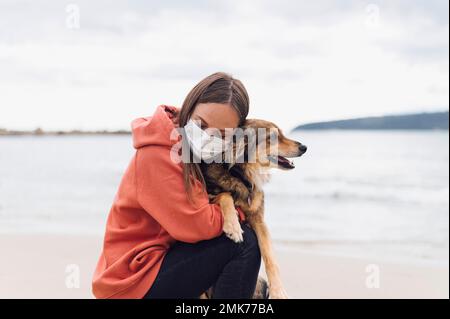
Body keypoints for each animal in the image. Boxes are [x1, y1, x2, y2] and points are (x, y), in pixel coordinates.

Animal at [200, 119, 306, 298]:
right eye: (273, 137)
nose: (304, 147)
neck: (242, 176)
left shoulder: (259, 219)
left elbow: (270, 256)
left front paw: (278, 290)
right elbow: (225, 195)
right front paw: (233, 227)